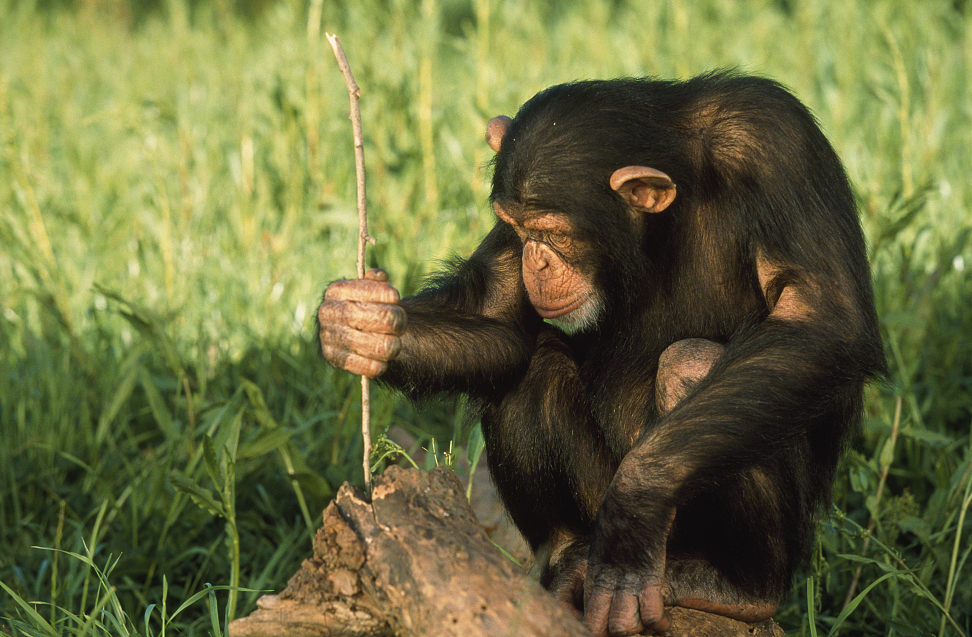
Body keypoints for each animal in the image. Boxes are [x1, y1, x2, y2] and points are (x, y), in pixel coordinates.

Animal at [316, 72, 884, 632]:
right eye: (518, 227)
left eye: (554, 233)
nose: (535, 260)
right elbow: (499, 319)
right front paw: (362, 324)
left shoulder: (775, 142)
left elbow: (818, 318)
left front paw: (635, 506)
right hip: (592, 501)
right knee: (535, 366)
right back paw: (566, 555)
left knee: (690, 363)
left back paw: (739, 587)